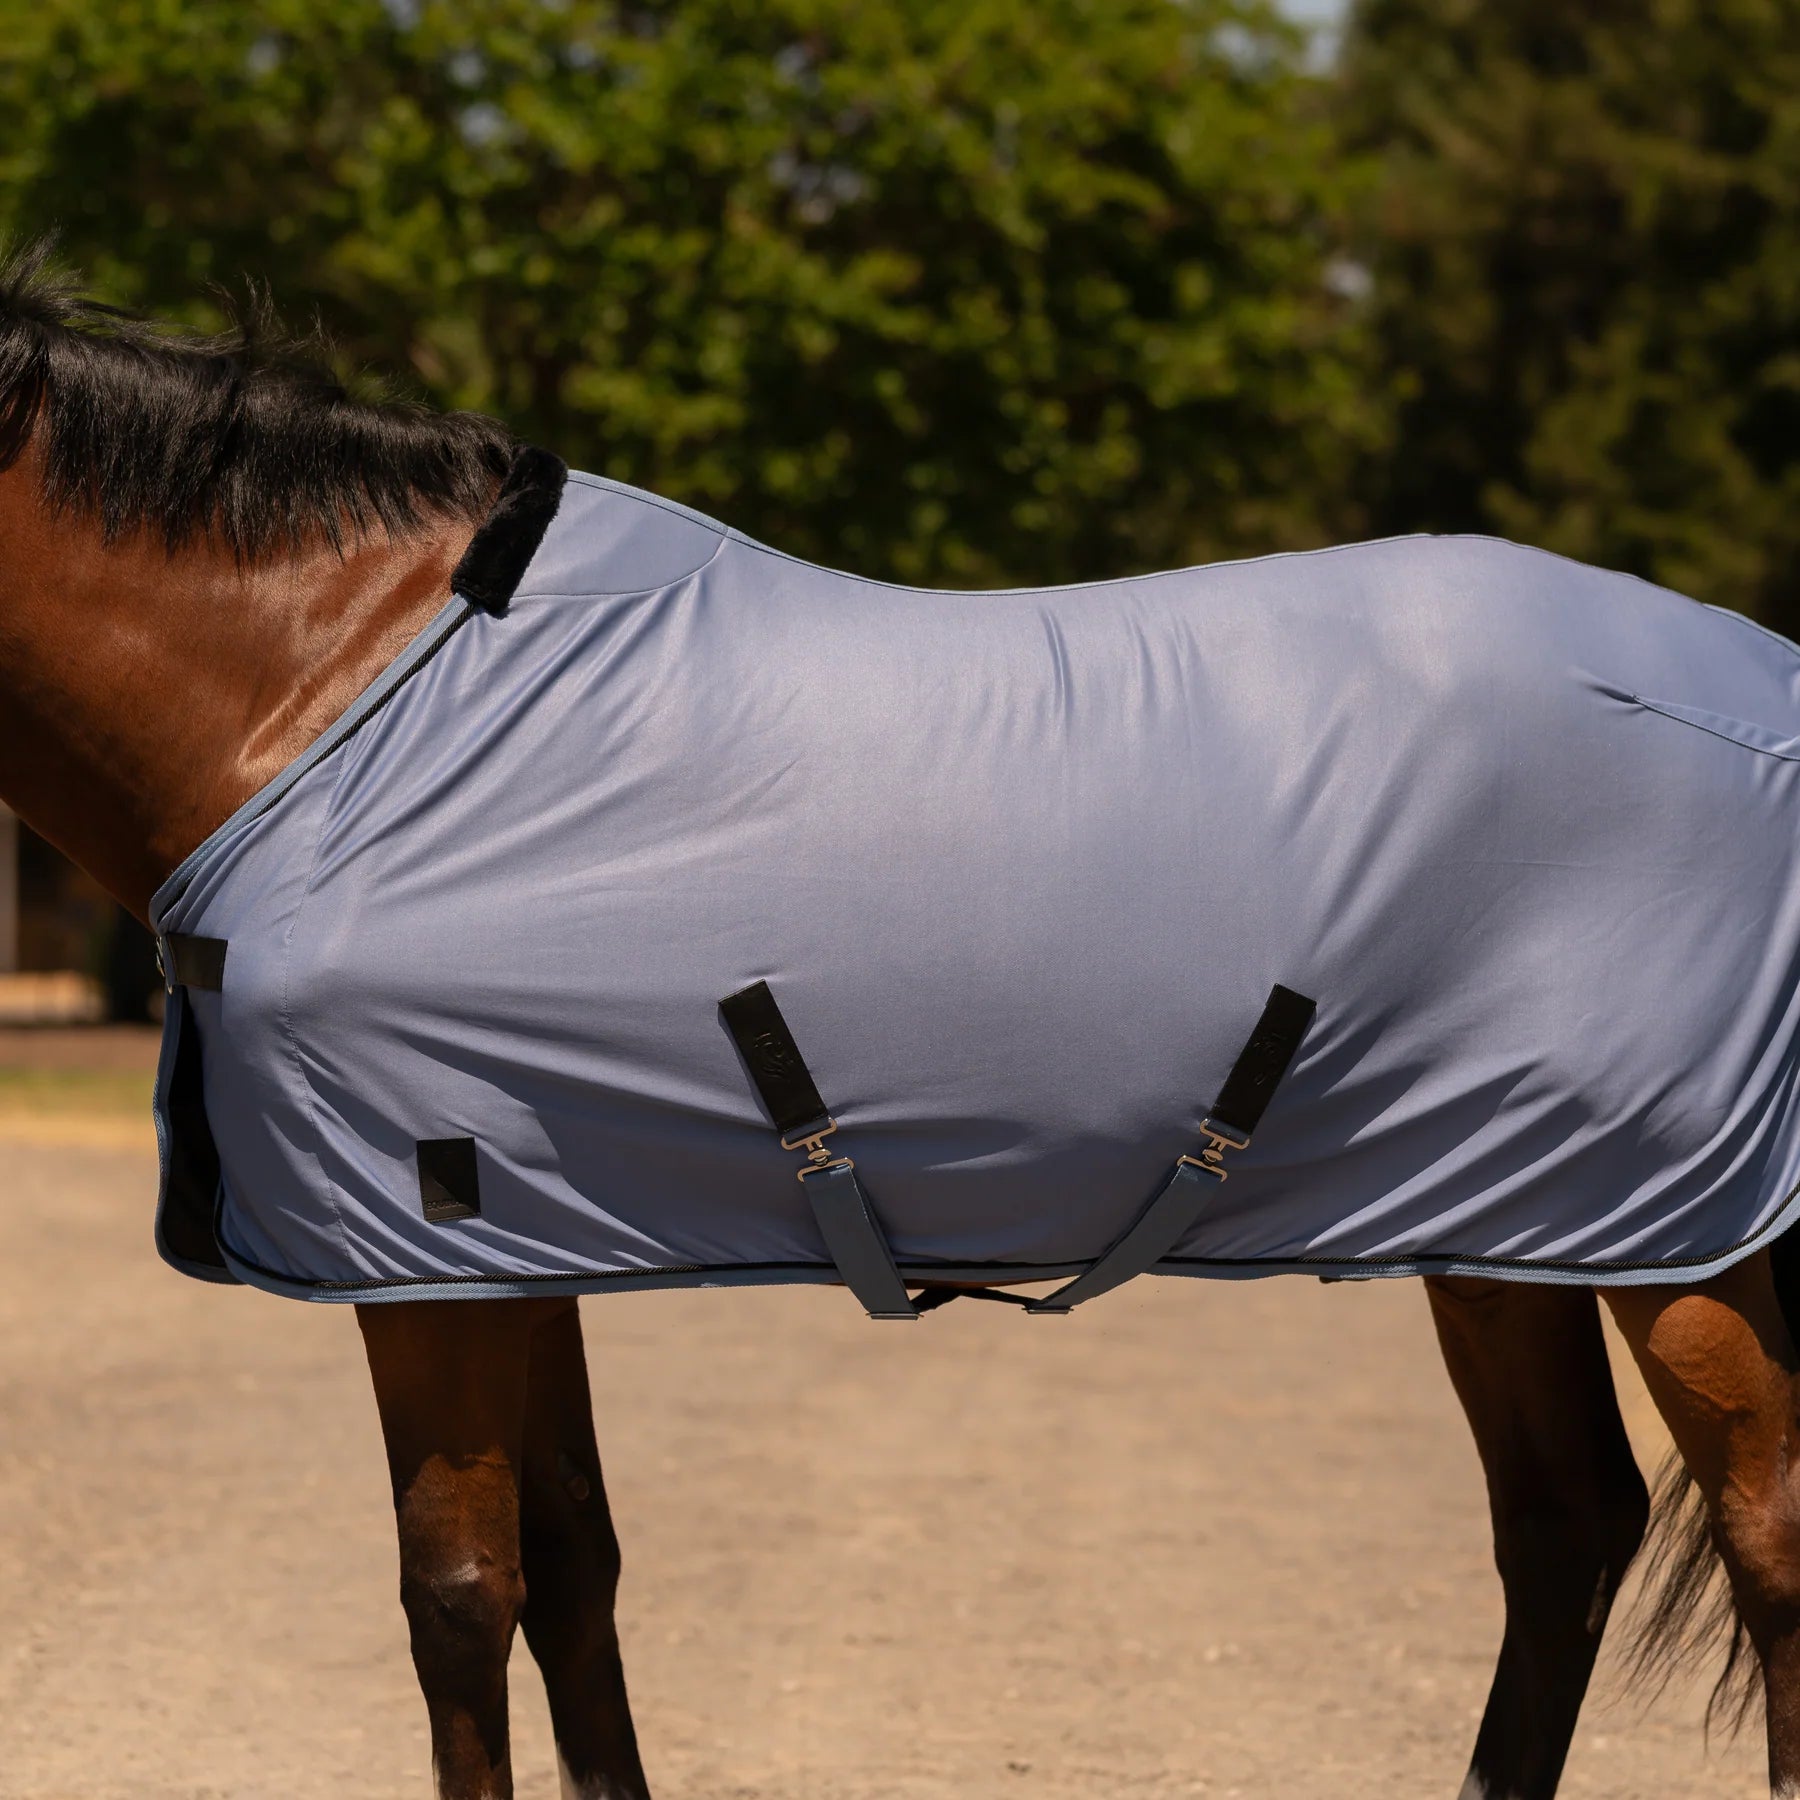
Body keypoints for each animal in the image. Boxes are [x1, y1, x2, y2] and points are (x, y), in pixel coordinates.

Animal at [5, 238, 1799, 1800]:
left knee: (1765, 1532)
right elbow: (575, 1568)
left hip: (1684, 1229)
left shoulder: (424, 1248)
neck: (332, 698)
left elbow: (458, 1597)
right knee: (1564, 1524)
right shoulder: (513, 1240)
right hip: (1511, 1219)